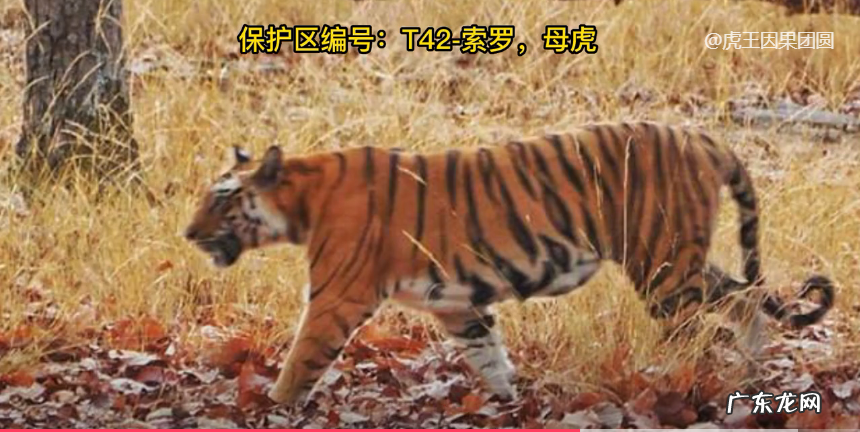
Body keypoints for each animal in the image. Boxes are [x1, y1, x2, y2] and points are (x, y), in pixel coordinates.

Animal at [184, 121, 835, 405]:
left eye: (221, 198)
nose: (188, 234)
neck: (300, 200)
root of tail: (703, 138)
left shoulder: (336, 298)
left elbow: (300, 362)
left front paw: (271, 408)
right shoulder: (457, 305)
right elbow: (489, 359)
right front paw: (509, 405)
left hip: (663, 266)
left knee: (707, 325)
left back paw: (689, 384)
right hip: (679, 258)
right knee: (746, 298)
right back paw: (748, 377)